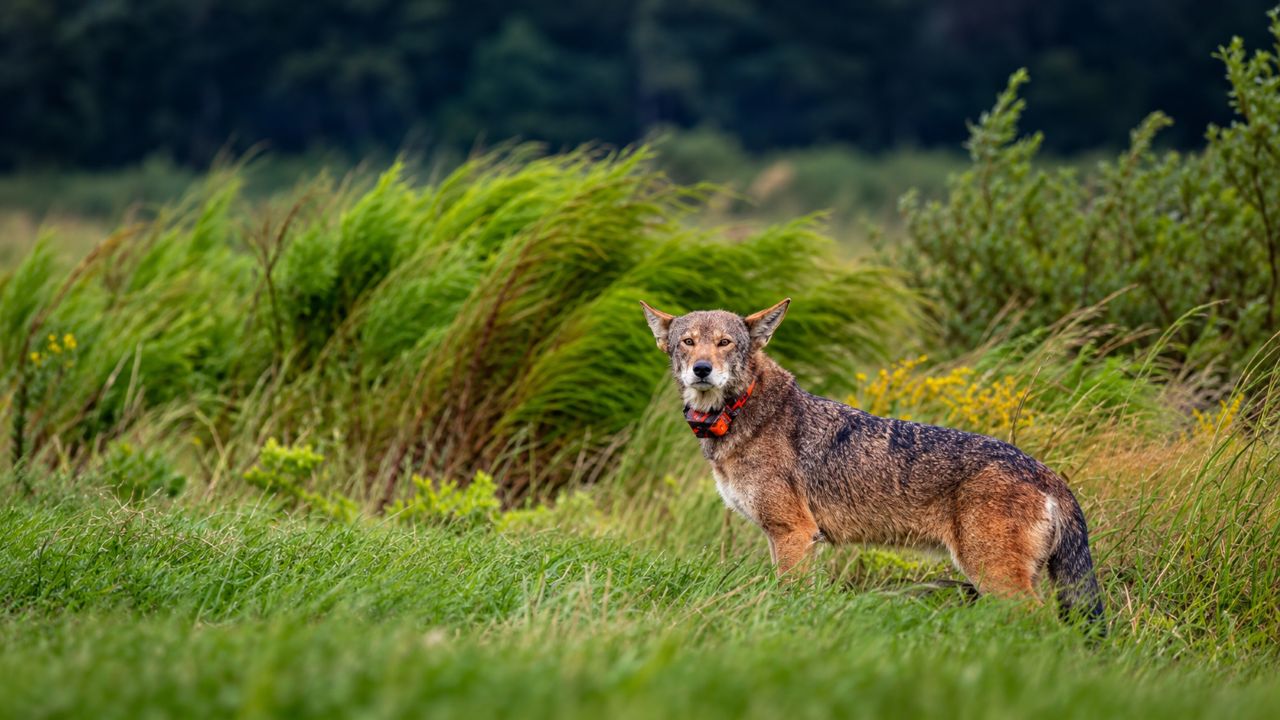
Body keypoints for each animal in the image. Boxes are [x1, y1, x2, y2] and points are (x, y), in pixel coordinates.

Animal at [640, 298, 1105, 626]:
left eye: (725, 343)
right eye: (688, 342)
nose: (702, 369)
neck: (741, 411)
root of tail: (1047, 473)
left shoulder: (794, 533)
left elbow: (788, 596)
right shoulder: (788, 536)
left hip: (993, 575)